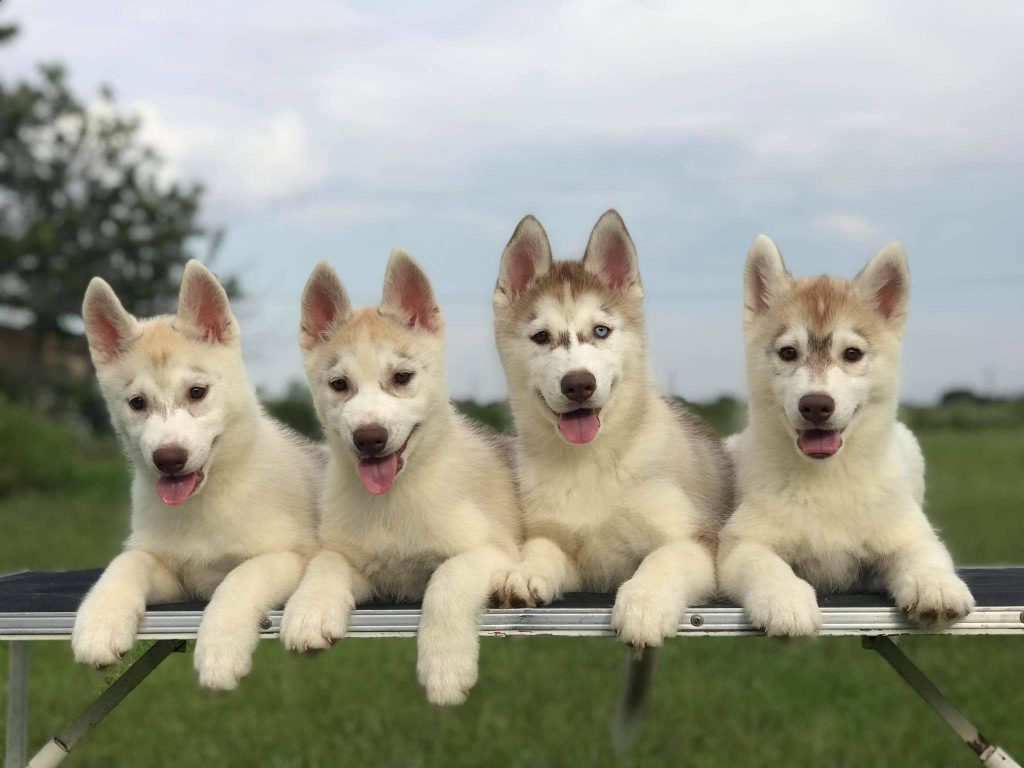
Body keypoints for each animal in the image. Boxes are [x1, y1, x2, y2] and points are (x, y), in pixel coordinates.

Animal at [74, 264, 319, 692]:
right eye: (137, 403)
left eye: (197, 392)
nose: (169, 459)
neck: (205, 504)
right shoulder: (174, 576)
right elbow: (125, 563)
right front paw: (99, 622)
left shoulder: (292, 555)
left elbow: (240, 578)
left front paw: (220, 650)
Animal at [280, 249, 520, 708]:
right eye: (339, 384)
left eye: (402, 377)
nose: (369, 437)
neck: (392, 504)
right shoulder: (362, 567)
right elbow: (325, 562)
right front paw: (309, 610)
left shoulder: (496, 550)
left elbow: (448, 580)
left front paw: (445, 667)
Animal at [491, 208, 733, 651]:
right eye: (541, 337)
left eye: (601, 330)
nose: (578, 383)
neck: (590, 463)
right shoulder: (562, 543)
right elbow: (541, 548)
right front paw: (523, 571)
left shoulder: (698, 541)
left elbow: (664, 557)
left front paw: (644, 603)